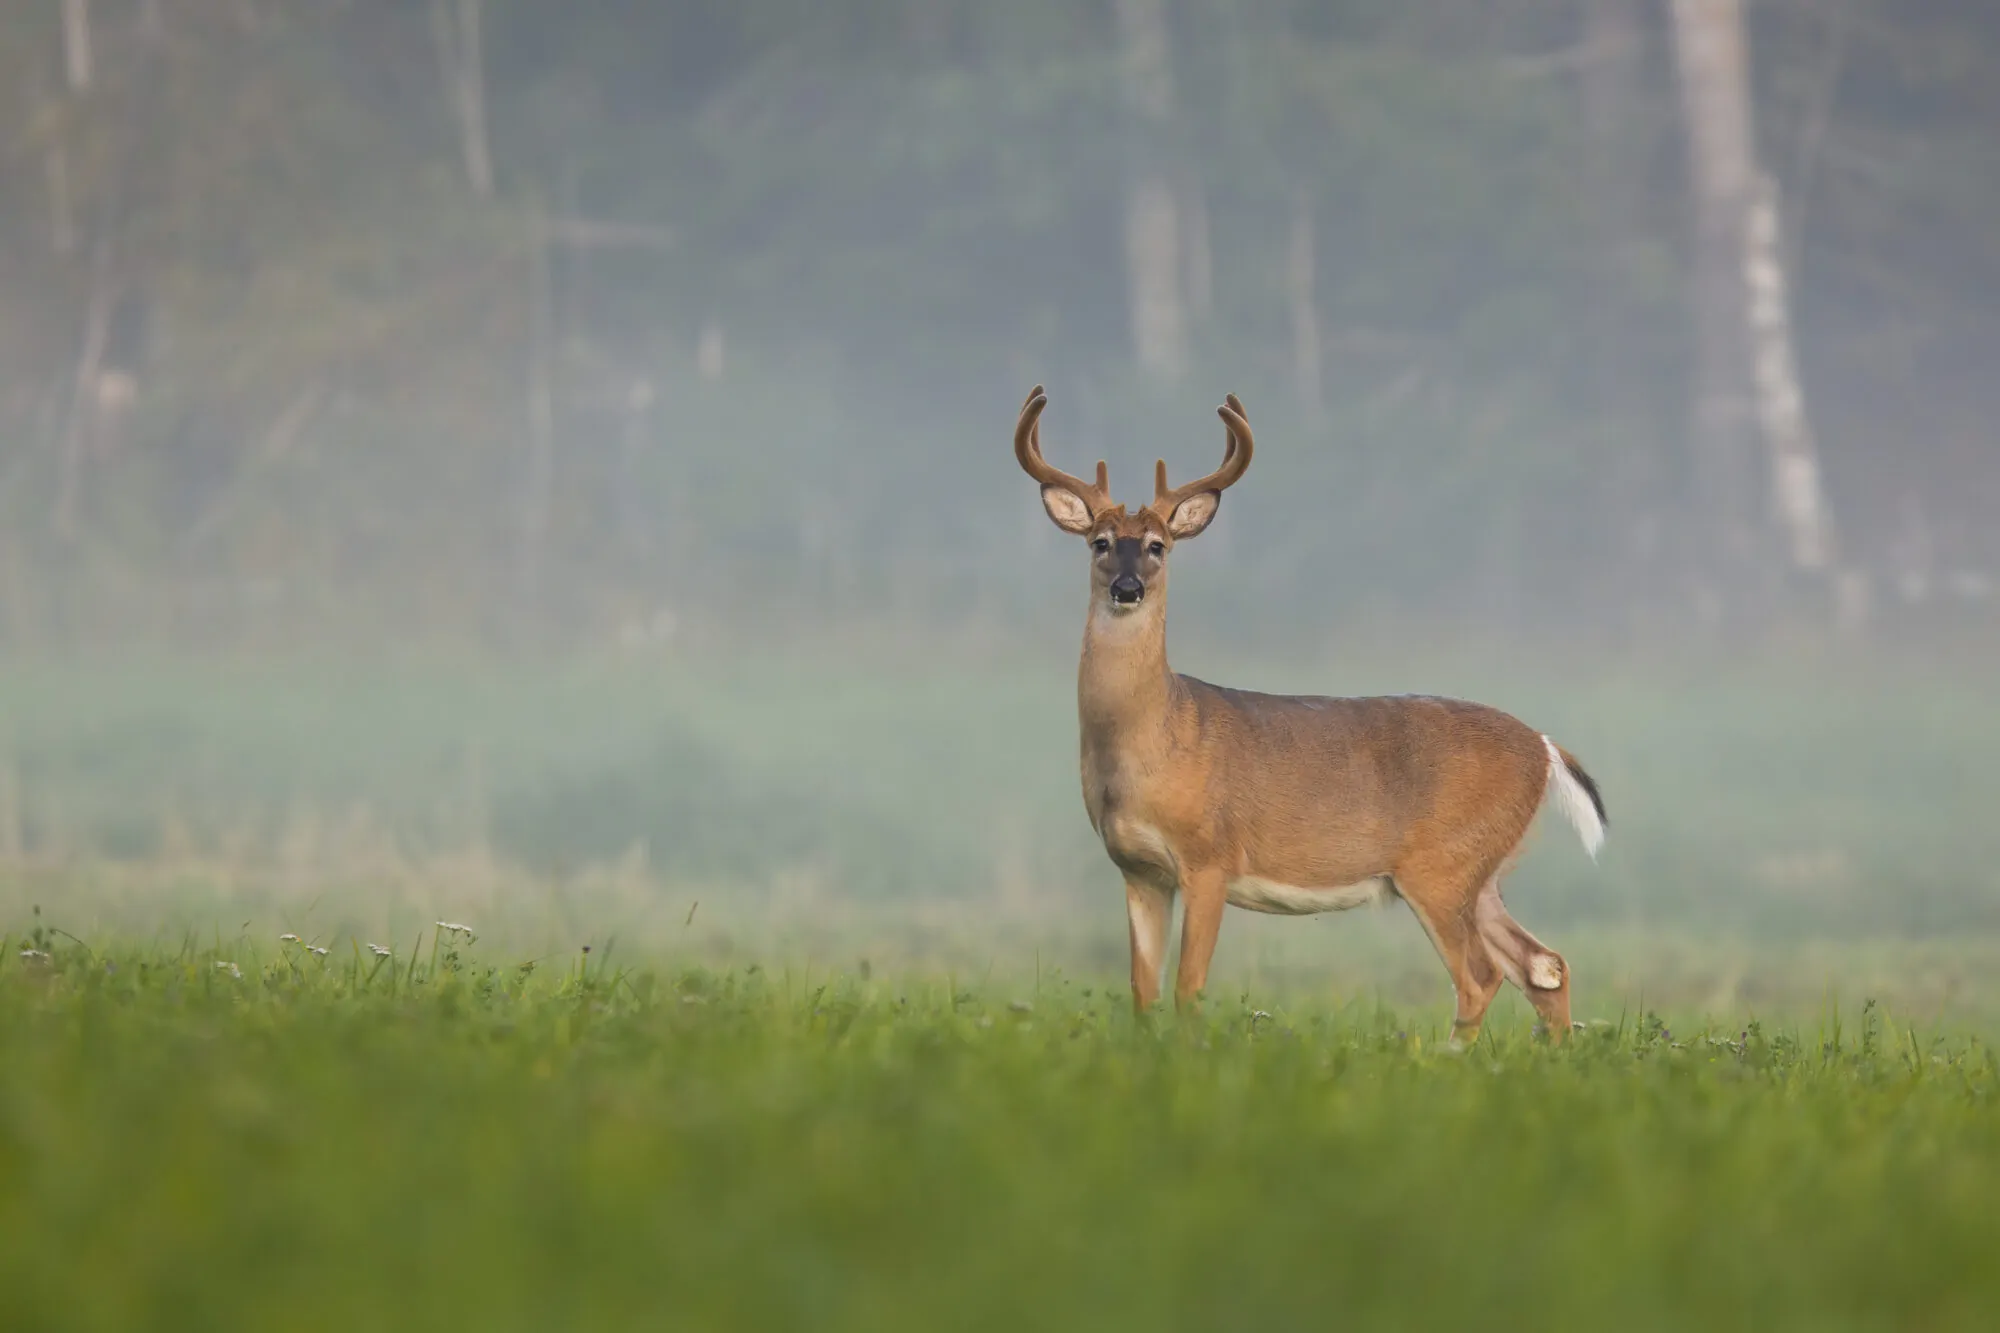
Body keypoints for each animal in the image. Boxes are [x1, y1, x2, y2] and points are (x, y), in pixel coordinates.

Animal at [1016, 384, 1608, 1040]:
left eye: (1156, 547)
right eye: (1099, 542)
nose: (1127, 588)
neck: (1156, 739)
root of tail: (1546, 748)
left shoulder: (1210, 858)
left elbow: (1188, 987)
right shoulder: (1139, 870)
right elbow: (1143, 991)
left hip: (1443, 864)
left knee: (1482, 975)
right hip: (1484, 872)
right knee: (1544, 965)